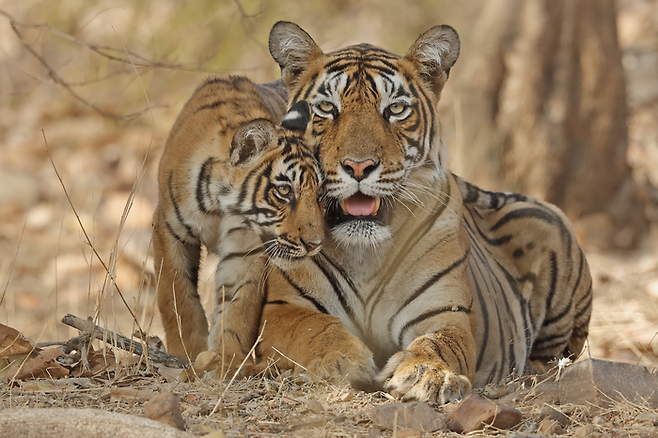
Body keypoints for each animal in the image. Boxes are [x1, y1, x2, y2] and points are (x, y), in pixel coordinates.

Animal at [151, 75, 322, 366]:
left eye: (319, 193)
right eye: (284, 190)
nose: (315, 244)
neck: (219, 206)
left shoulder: (247, 248)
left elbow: (238, 306)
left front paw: (226, 359)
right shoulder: (169, 230)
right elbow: (176, 297)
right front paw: (186, 352)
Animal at [238, 21, 592, 404]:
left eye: (395, 109)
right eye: (327, 108)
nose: (358, 166)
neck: (365, 253)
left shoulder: (444, 312)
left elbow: (438, 343)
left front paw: (426, 374)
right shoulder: (283, 309)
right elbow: (313, 329)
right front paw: (341, 360)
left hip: (552, 228)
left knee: (555, 357)